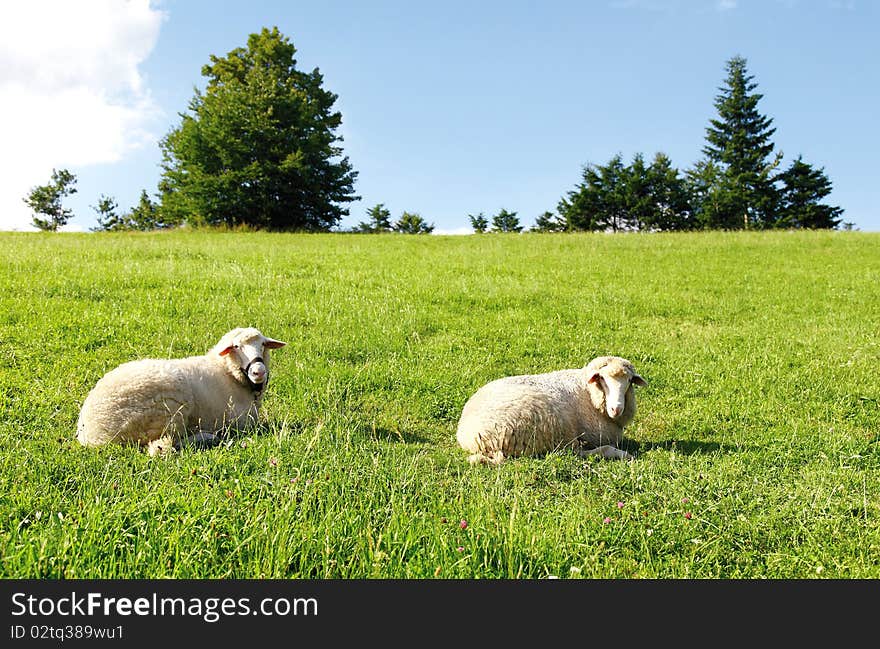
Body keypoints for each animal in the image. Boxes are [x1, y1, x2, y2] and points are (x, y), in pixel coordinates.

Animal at [76, 324, 286, 456]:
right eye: (236, 346)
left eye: (263, 345)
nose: (259, 371)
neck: (226, 372)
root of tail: (91, 434)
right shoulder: (241, 422)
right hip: (170, 408)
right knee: (163, 446)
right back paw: (208, 437)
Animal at [454, 354, 648, 466]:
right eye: (602, 378)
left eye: (629, 381)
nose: (616, 409)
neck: (587, 390)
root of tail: (469, 436)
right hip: (552, 427)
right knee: (573, 452)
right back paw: (620, 454)